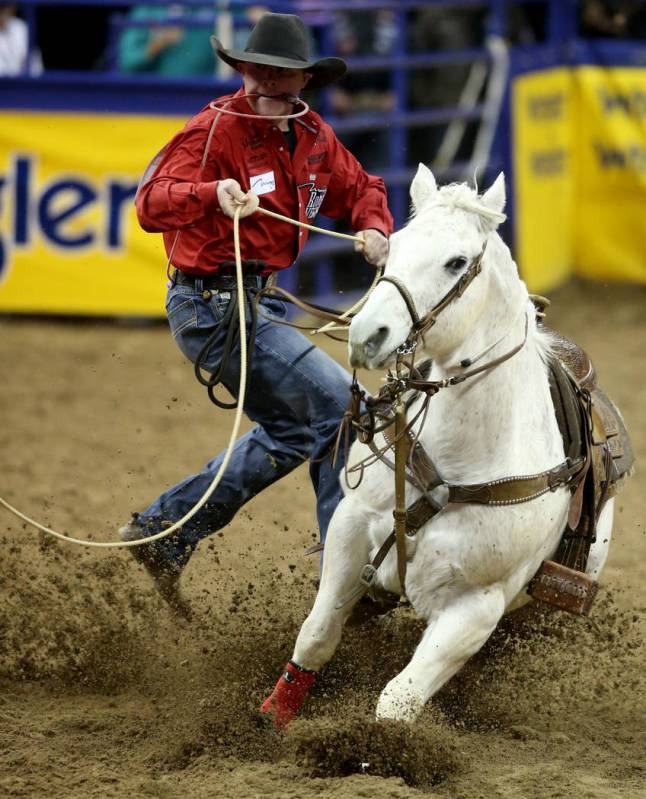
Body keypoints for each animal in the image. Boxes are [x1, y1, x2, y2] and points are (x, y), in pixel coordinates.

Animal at [260, 169, 616, 732]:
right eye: (393, 246)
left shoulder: (478, 606)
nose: (367, 334)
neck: (456, 464)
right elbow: (316, 635)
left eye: (456, 262)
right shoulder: (350, 529)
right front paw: (273, 718)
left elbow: (398, 701)